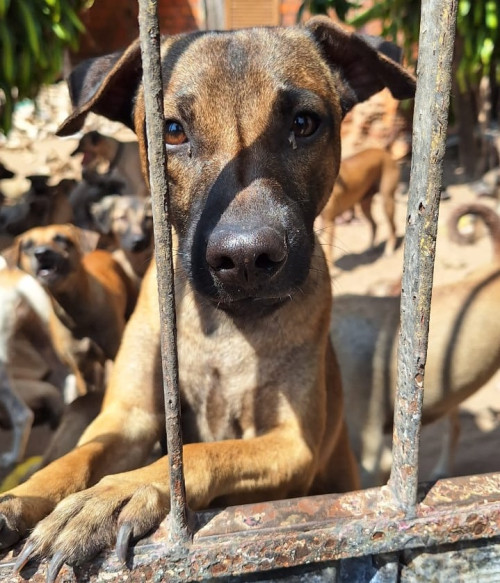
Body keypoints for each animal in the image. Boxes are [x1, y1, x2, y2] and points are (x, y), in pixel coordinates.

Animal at [0, 16, 414, 576]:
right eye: (172, 131)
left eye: (304, 123)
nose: (246, 257)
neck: (226, 324)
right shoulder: (128, 418)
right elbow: (78, 456)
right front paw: (24, 494)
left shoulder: (292, 446)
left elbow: (197, 455)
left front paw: (114, 495)